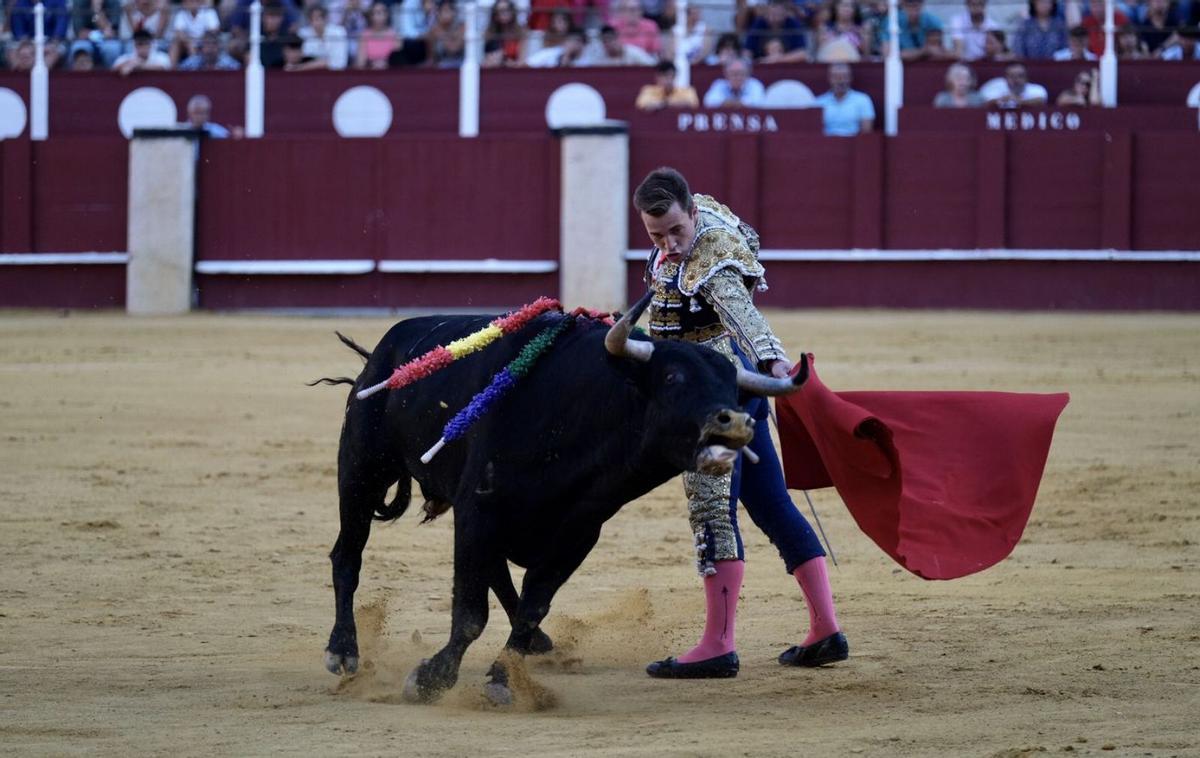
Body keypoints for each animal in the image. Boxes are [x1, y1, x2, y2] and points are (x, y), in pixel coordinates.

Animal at [319, 295, 806, 705]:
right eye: (672, 377)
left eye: (733, 388)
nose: (735, 421)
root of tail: (386, 349)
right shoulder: (478, 511)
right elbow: (471, 612)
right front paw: (431, 679)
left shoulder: (576, 534)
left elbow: (532, 607)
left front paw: (502, 678)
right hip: (362, 470)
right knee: (347, 554)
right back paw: (343, 651)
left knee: (499, 577)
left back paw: (539, 645)